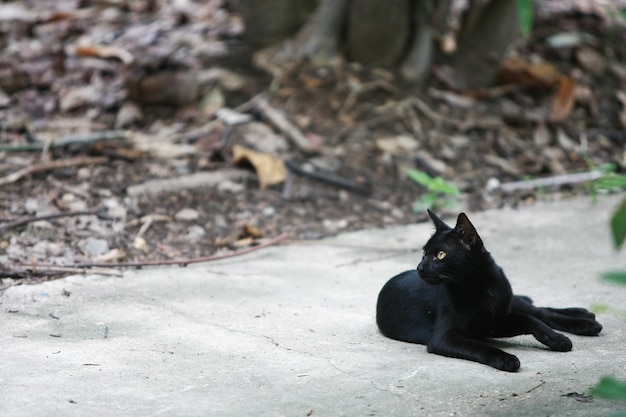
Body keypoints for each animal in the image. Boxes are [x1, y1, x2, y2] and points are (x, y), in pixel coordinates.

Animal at [376, 208, 600, 370]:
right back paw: (586, 319)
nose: (420, 267)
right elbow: (480, 346)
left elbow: (530, 320)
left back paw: (585, 319)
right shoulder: (450, 336)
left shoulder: (495, 321)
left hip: (510, 301)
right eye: (423, 253)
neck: (479, 287)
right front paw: (506, 359)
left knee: (538, 311)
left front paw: (557, 338)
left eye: (440, 255)